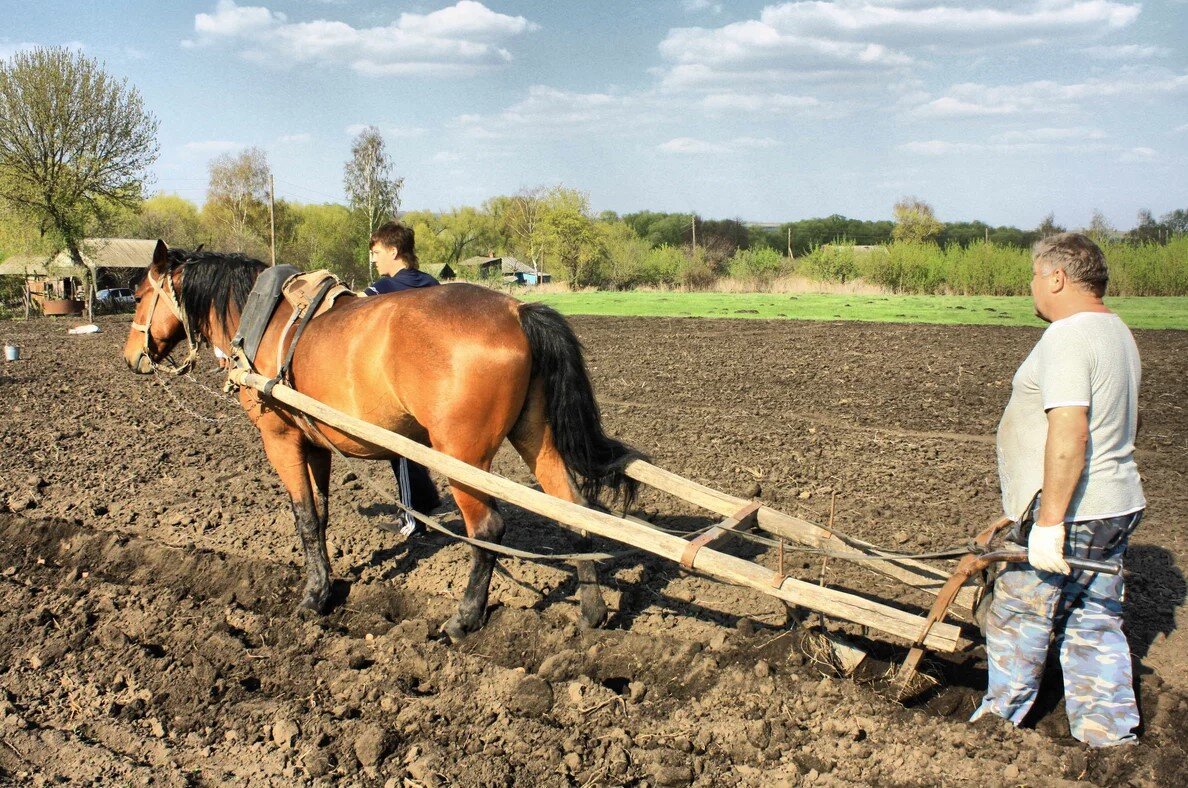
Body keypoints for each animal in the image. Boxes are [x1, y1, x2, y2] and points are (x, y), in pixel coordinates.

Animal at [124, 240, 636, 641]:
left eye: (139, 293)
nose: (132, 358)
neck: (264, 320)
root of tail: (516, 309)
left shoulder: (281, 439)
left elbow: (303, 518)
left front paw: (312, 597)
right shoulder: (316, 444)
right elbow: (321, 515)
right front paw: (327, 584)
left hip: (461, 457)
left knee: (488, 530)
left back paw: (464, 619)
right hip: (534, 436)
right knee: (574, 511)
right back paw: (592, 613)